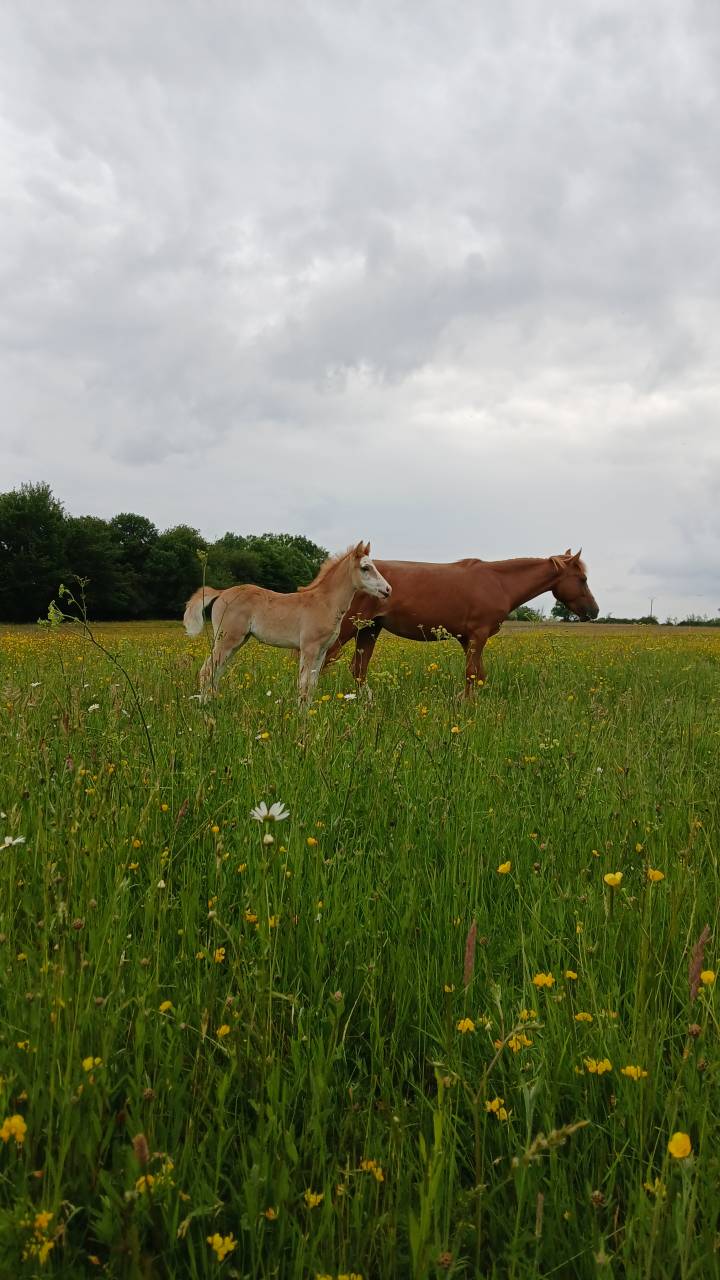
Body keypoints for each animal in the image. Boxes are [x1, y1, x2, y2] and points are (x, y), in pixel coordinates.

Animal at [183, 542, 391, 704]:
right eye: (365, 568)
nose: (388, 589)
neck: (324, 603)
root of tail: (221, 592)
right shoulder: (309, 648)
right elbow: (303, 684)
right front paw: (301, 721)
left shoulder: (322, 651)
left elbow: (312, 685)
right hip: (227, 640)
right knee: (207, 671)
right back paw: (204, 709)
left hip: (237, 642)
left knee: (217, 671)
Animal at [323, 549, 598, 695]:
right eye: (582, 579)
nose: (594, 611)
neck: (499, 582)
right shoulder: (478, 635)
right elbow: (472, 674)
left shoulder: (469, 640)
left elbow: (478, 675)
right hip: (348, 627)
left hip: (369, 629)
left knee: (358, 669)